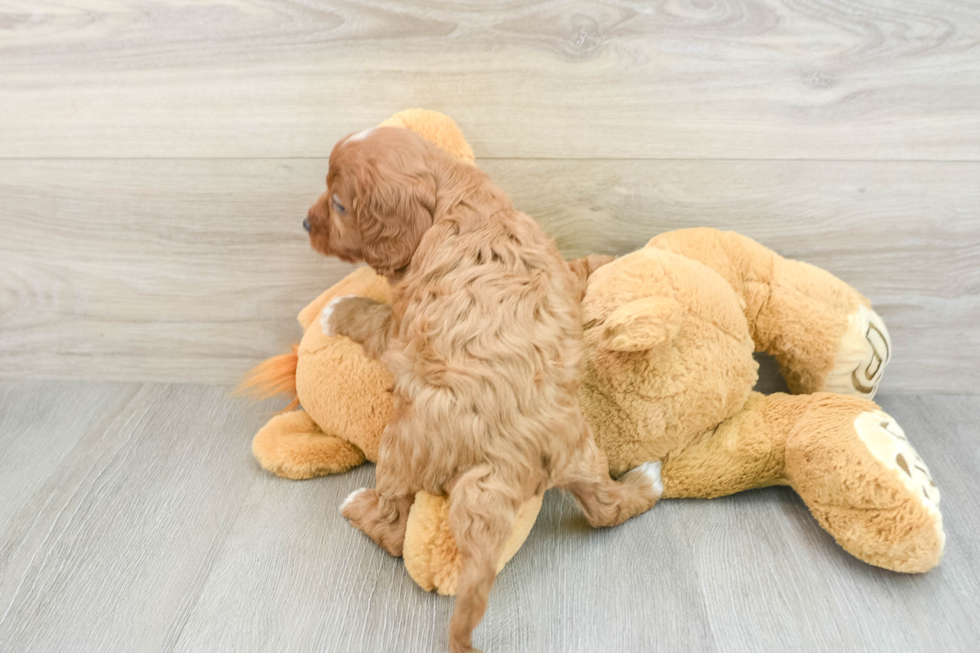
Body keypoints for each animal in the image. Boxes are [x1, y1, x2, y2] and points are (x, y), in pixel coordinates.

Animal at [306, 127, 660, 652]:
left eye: (338, 205)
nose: (304, 222)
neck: (456, 196)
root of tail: (508, 457)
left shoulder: (400, 328)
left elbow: (371, 316)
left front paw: (337, 310)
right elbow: (574, 271)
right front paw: (602, 263)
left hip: (401, 443)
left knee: (393, 526)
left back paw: (358, 506)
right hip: (580, 449)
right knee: (605, 508)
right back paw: (647, 481)